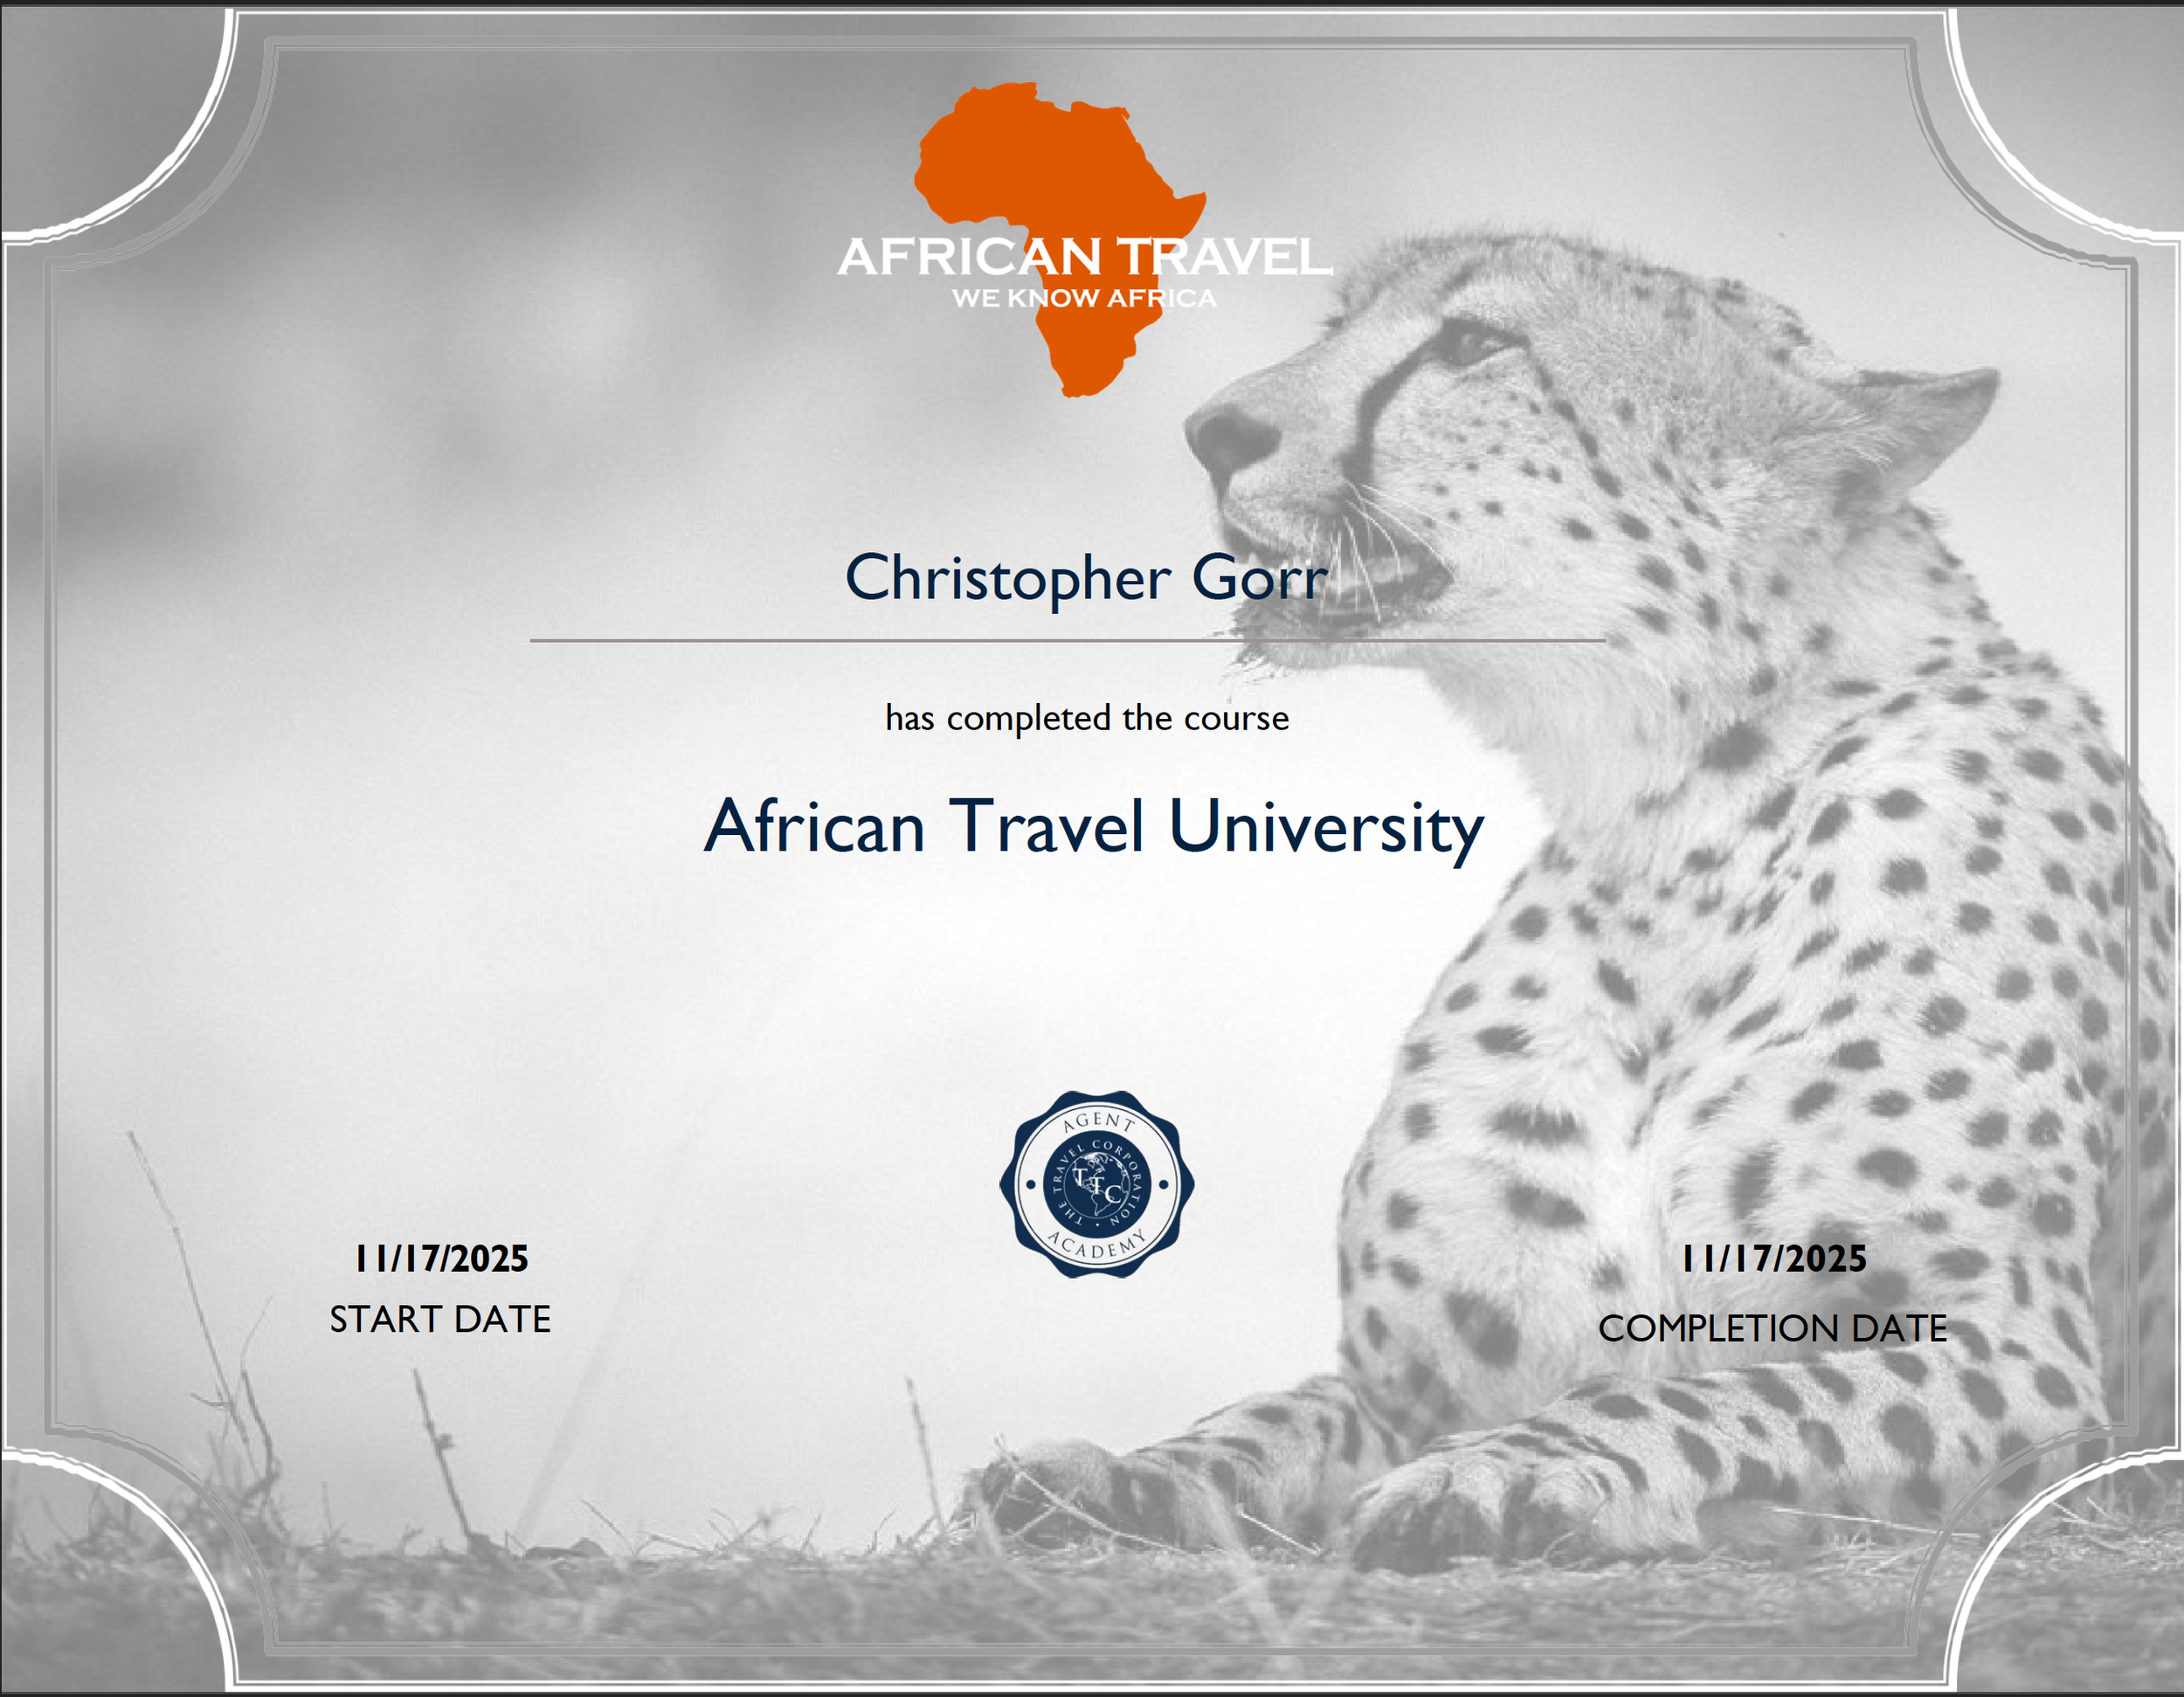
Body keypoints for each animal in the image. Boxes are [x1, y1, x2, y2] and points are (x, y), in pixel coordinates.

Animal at [967, 231, 2179, 1570]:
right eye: (1341, 320)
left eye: (1472, 344)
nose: (1211, 429)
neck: (1672, 821)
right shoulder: (1403, 1380)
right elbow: (1263, 1420)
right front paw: (1118, 1474)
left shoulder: (2024, 1364)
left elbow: (1696, 1389)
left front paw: (1508, 1469)